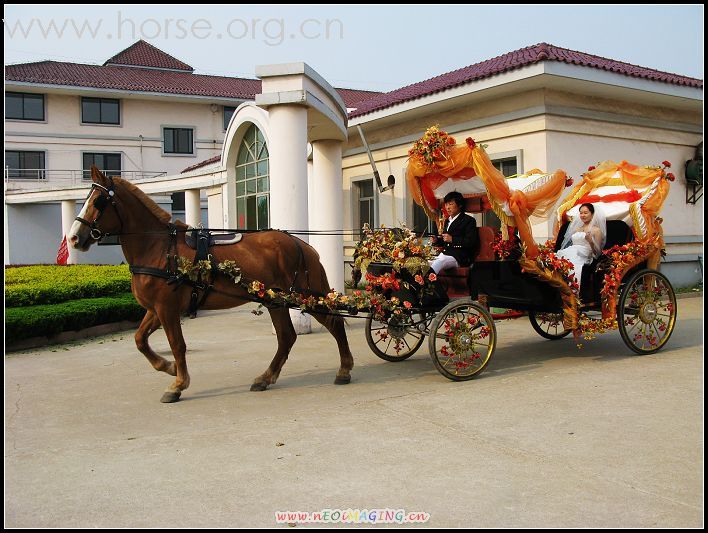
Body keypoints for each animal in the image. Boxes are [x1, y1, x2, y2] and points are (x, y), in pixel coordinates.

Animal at [67, 168, 354, 402]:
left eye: (98, 201)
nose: (74, 238)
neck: (158, 248)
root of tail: (302, 245)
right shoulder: (155, 309)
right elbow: (139, 340)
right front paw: (168, 367)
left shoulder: (167, 309)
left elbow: (177, 344)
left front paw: (178, 384)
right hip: (276, 299)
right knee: (287, 336)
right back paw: (266, 377)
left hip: (305, 295)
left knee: (333, 322)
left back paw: (344, 368)